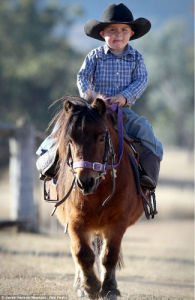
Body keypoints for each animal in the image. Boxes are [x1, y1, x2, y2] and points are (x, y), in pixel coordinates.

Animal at [51, 97, 143, 298]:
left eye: (101, 137)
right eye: (70, 140)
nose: (85, 181)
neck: (99, 190)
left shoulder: (118, 222)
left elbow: (109, 255)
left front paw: (109, 288)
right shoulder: (75, 222)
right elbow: (82, 253)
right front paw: (90, 287)